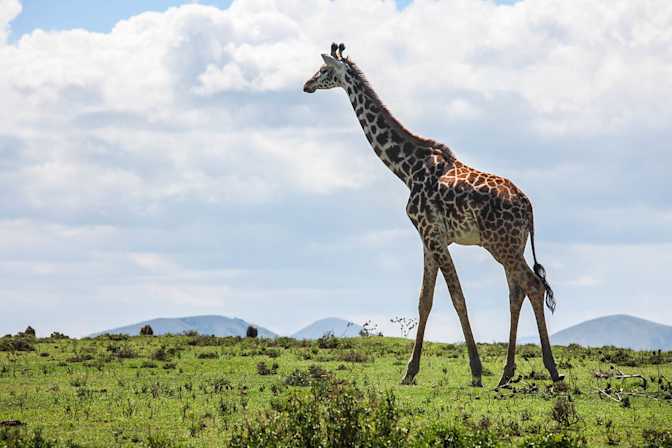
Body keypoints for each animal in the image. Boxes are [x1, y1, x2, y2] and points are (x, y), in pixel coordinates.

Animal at [303, 43, 564, 387]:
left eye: (323, 70)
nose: (305, 85)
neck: (407, 168)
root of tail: (529, 206)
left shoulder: (432, 232)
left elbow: (456, 296)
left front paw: (476, 370)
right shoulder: (429, 237)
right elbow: (424, 300)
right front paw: (410, 372)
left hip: (501, 245)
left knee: (532, 286)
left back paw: (550, 369)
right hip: (513, 246)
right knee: (516, 292)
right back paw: (507, 373)